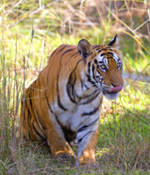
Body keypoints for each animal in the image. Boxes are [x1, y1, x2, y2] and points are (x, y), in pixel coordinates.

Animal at [18, 35, 123, 167]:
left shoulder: (90, 122)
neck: (83, 94)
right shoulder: (47, 110)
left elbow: (89, 143)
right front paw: (63, 154)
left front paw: (87, 161)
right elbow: (55, 133)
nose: (119, 86)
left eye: (118, 66)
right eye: (103, 67)